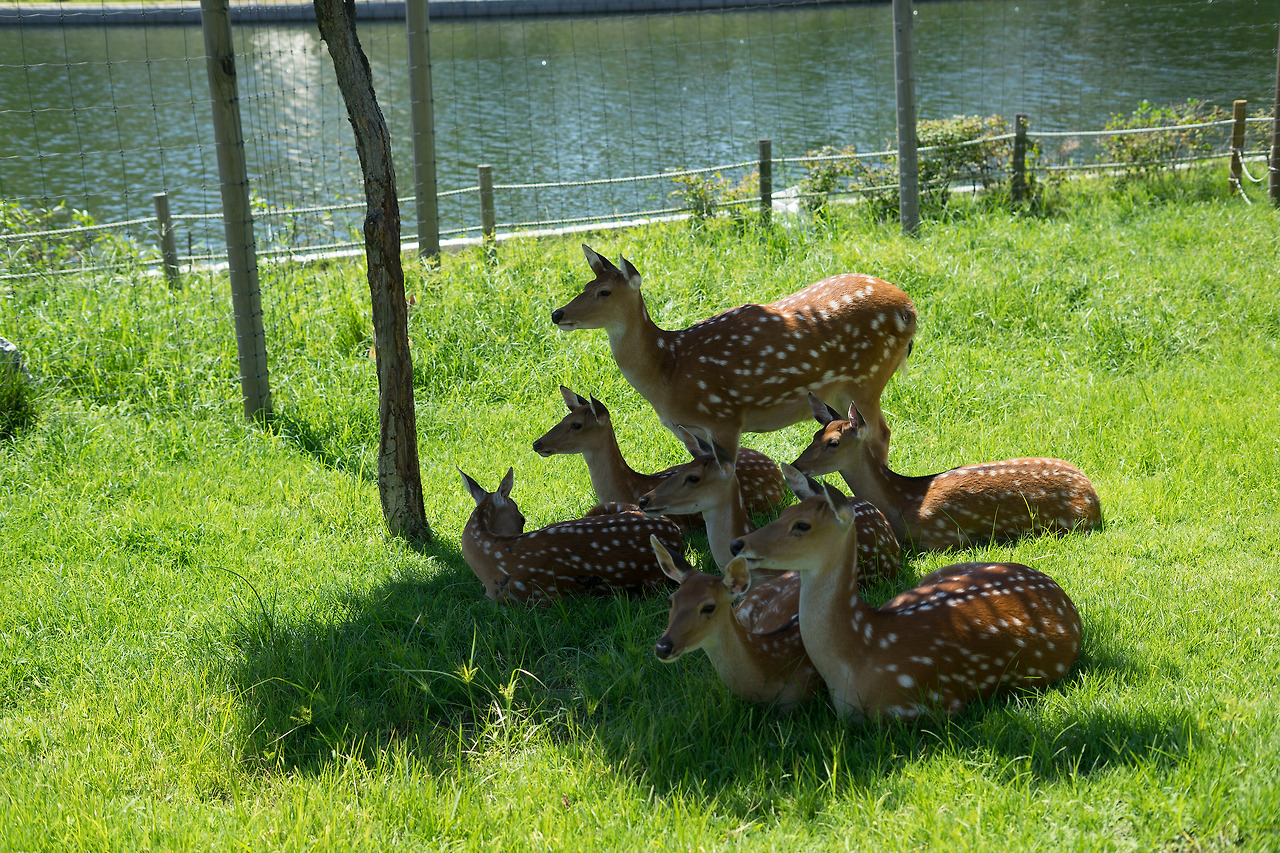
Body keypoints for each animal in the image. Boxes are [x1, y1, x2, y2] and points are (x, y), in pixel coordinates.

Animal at [550, 244, 917, 463]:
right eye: (584, 286)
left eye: (604, 292)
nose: (557, 313)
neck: (668, 370)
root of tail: (909, 310)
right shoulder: (685, 430)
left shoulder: (724, 417)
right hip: (841, 389)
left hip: (868, 376)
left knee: (880, 433)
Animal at [793, 393, 1103, 551]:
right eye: (815, 434)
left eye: (833, 442)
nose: (796, 465)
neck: (901, 504)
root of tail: (1094, 497)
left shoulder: (944, 536)